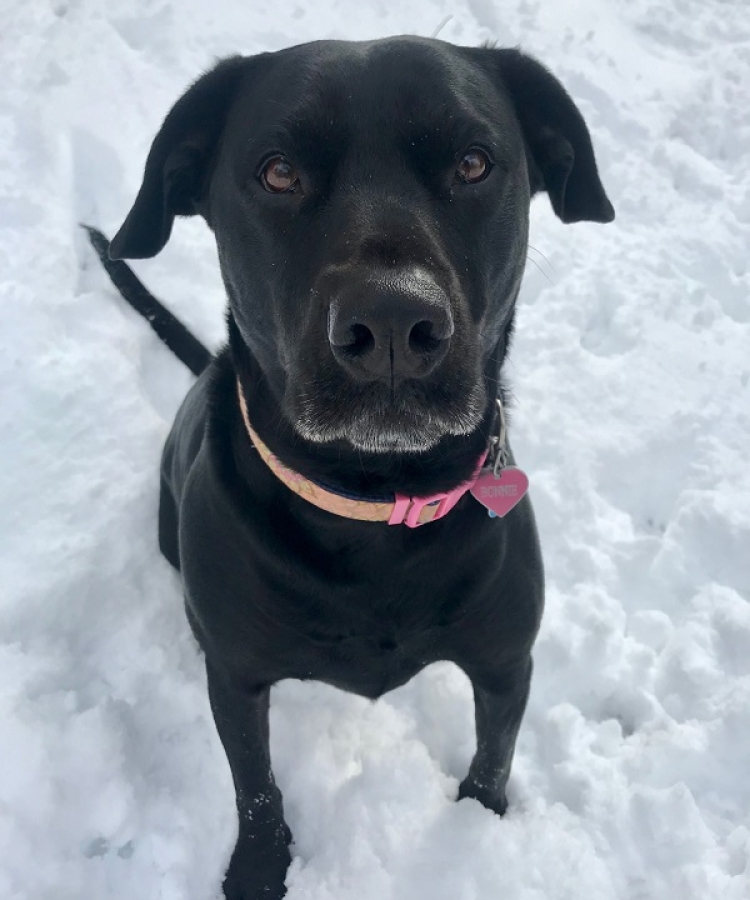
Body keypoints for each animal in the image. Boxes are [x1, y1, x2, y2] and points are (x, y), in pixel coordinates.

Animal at [91, 37, 612, 900]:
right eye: (278, 172)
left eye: (473, 162)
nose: (395, 323)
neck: (373, 506)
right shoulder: (236, 678)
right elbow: (256, 785)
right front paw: (259, 869)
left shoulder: (508, 662)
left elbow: (494, 758)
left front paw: (480, 825)